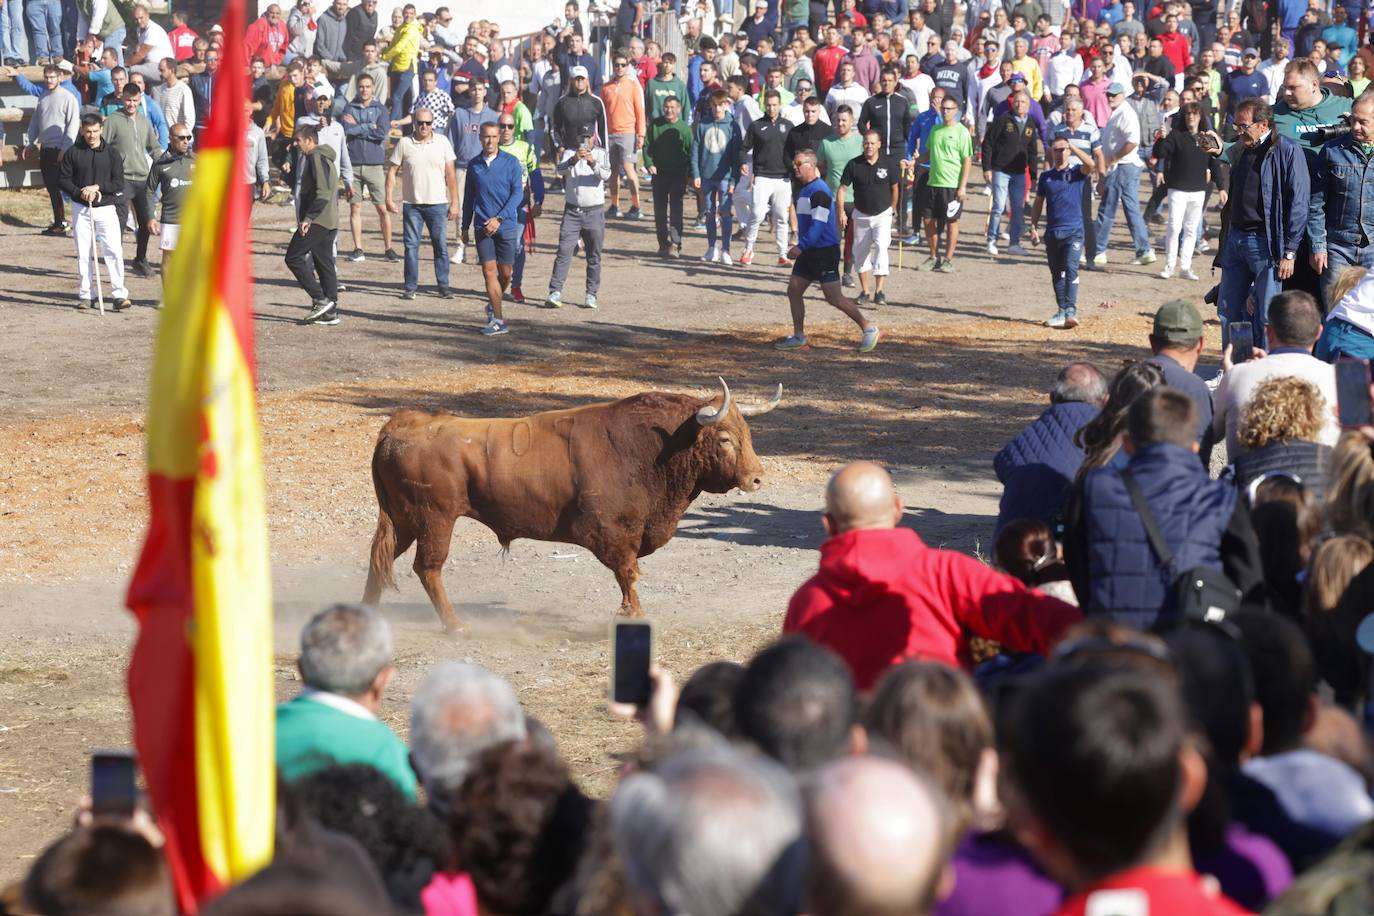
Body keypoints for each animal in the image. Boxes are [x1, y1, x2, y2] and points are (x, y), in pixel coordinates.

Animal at [359, 379, 780, 631]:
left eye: (747, 433)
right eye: (724, 438)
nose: (757, 478)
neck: (651, 448)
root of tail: (403, 424)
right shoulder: (612, 533)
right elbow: (628, 574)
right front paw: (633, 613)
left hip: (404, 521)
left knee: (381, 560)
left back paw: (367, 613)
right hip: (435, 520)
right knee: (427, 568)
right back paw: (454, 624)